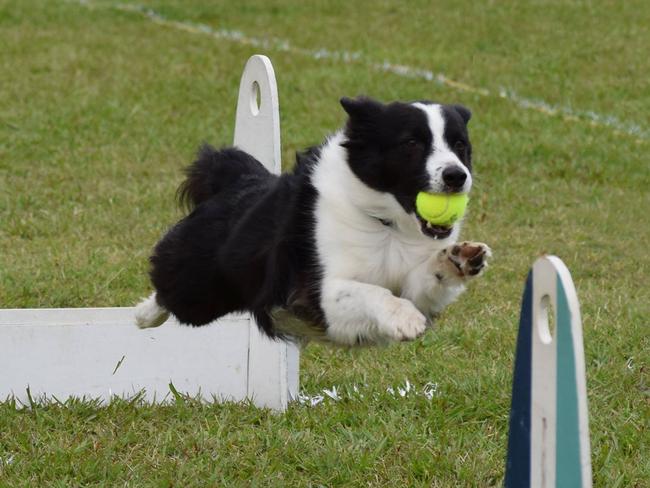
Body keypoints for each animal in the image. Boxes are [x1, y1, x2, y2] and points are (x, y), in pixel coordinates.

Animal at [135, 96, 492, 346]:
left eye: (460, 144)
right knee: (168, 291)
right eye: (412, 143)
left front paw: (459, 258)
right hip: (199, 287)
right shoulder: (318, 293)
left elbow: (424, 279)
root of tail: (236, 180)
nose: (456, 176)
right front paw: (405, 319)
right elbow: (371, 292)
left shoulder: (412, 283)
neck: (387, 224)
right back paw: (142, 317)